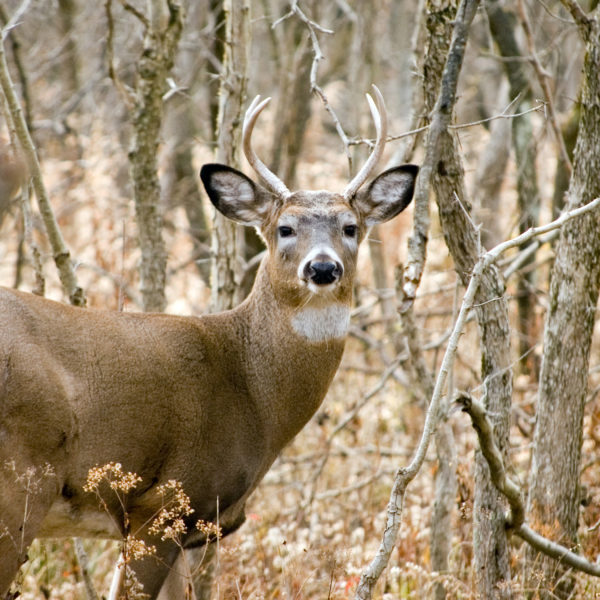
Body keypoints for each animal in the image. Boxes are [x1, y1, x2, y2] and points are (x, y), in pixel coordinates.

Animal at [0, 85, 418, 600]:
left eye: (351, 227)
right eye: (285, 228)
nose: (322, 268)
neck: (251, 389)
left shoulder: (193, 530)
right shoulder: (164, 504)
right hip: (21, 484)